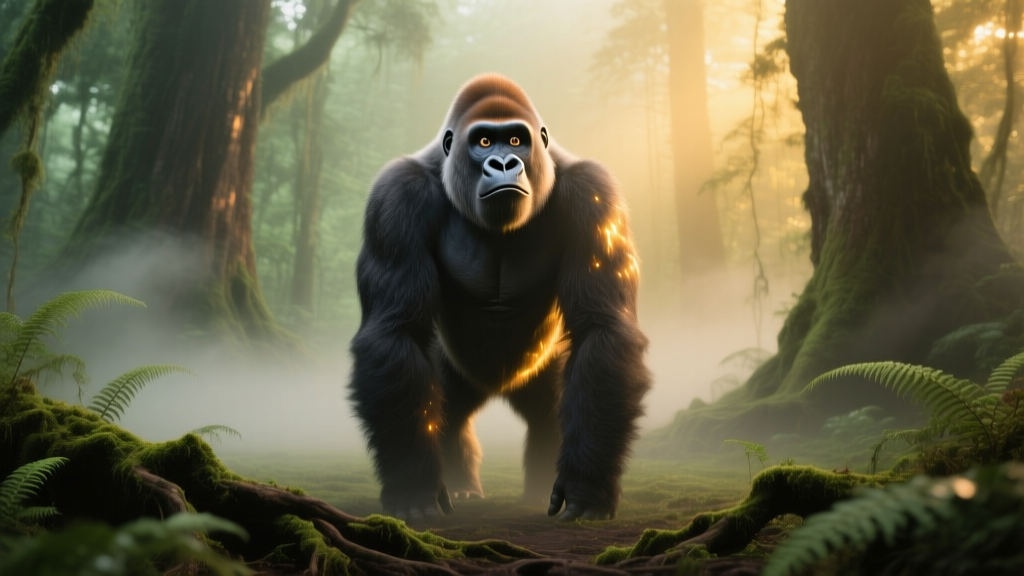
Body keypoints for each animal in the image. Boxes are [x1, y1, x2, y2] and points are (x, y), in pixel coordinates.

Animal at [348, 73, 650, 522]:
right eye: (485, 142)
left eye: (516, 140)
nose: (505, 164)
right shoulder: (396, 196)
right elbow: (395, 333)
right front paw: (413, 485)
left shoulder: (594, 192)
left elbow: (603, 328)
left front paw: (588, 486)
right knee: (448, 412)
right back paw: (461, 485)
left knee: (548, 415)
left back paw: (539, 487)